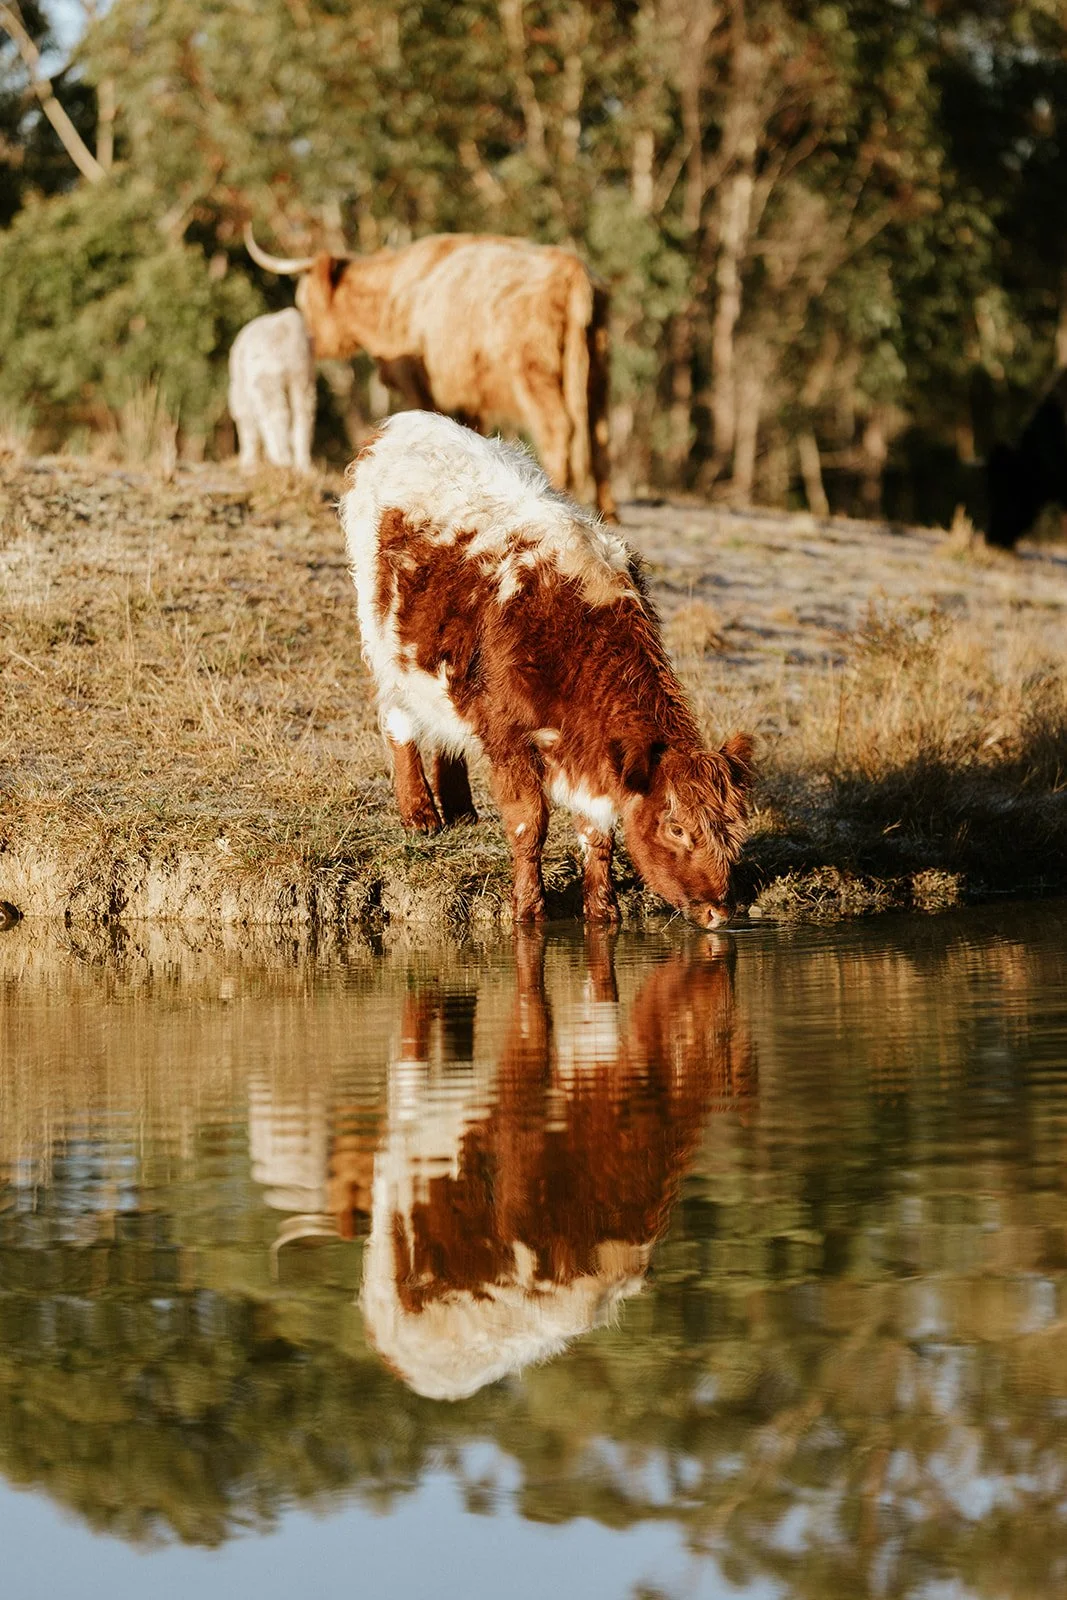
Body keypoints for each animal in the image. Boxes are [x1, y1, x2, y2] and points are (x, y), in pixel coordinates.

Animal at [228, 307, 316, 473]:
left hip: (266, 379)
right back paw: (301, 466)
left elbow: (248, 424)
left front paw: (248, 464)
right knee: (303, 413)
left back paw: (282, 459)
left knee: (276, 414)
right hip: (302, 378)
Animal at [245, 225, 616, 520]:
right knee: (599, 438)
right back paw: (607, 510)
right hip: (597, 375)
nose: (310, 339)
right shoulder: (467, 393)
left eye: (303, 299)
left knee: (559, 427)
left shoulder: (419, 382)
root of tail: (573, 269)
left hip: (535, 373)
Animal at [340, 412, 754, 929]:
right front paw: (527, 910)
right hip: (383, 639)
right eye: (676, 827)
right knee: (399, 718)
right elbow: (528, 824)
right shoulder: (510, 737)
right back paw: (420, 814)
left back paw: (459, 808)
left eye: (734, 828)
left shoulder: (592, 756)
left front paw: (603, 912)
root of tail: (406, 422)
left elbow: (597, 835)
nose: (720, 911)